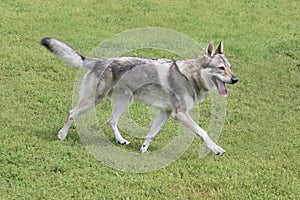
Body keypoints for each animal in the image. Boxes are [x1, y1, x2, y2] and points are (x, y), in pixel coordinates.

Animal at [41, 38, 238, 156]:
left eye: (230, 68)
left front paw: (143, 150)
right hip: (93, 101)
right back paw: (61, 135)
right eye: (221, 68)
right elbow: (203, 132)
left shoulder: (165, 113)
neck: (190, 76)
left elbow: (151, 134)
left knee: (110, 121)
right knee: (71, 113)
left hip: (124, 104)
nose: (235, 79)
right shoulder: (179, 114)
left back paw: (120, 141)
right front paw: (216, 149)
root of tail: (98, 62)